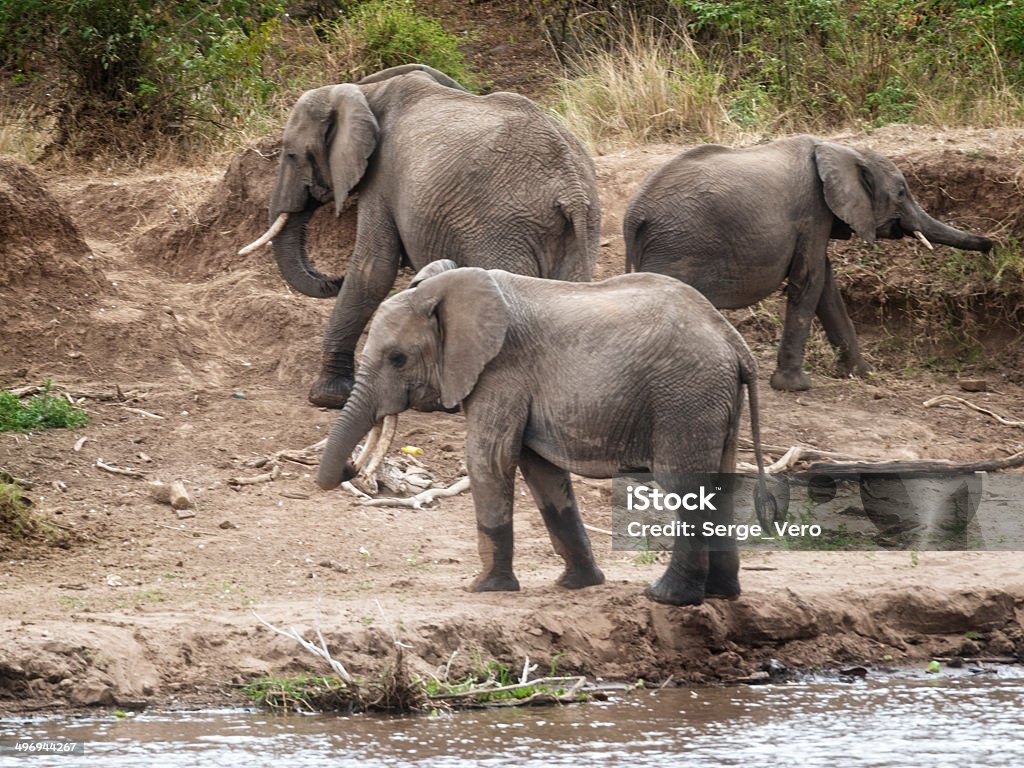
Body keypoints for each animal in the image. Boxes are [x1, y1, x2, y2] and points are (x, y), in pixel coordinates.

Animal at [239, 64, 598, 411]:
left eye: (291, 155)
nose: (333, 277)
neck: (366, 90)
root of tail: (571, 187)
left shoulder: (382, 175)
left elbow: (374, 268)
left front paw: (326, 397)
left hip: (505, 227)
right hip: (581, 226)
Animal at [315, 262, 770, 610]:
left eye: (398, 358)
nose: (353, 468)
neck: (449, 287)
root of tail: (734, 340)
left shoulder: (501, 373)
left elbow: (489, 459)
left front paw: (483, 589)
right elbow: (542, 471)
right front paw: (576, 585)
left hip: (684, 396)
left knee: (686, 486)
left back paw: (666, 597)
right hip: (710, 398)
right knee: (721, 483)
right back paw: (722, 594)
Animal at [622, 133, 991, 393]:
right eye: (901, 193)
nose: (992, 246)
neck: (844, 149)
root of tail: (633, 216)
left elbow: (827, 286)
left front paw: (860, 374)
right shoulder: (813, 212)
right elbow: (809, 281)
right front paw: (796, 386)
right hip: (675, 250)